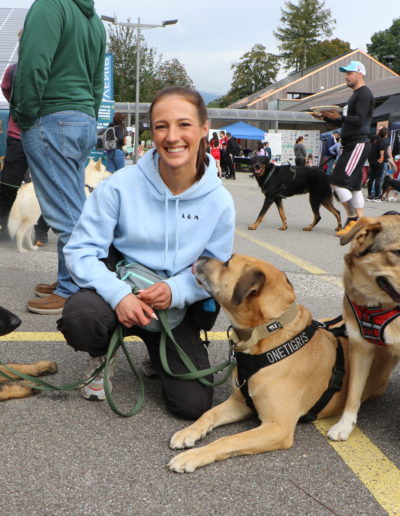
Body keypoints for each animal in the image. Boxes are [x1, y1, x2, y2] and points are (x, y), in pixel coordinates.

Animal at [167, 254, 395, 472]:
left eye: (227, 262)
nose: (200, 257)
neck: (266, 335)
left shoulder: (278, 428)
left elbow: (227, 440)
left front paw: (193, 456)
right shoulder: (240, 403)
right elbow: (209, 413)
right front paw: (189, 432)